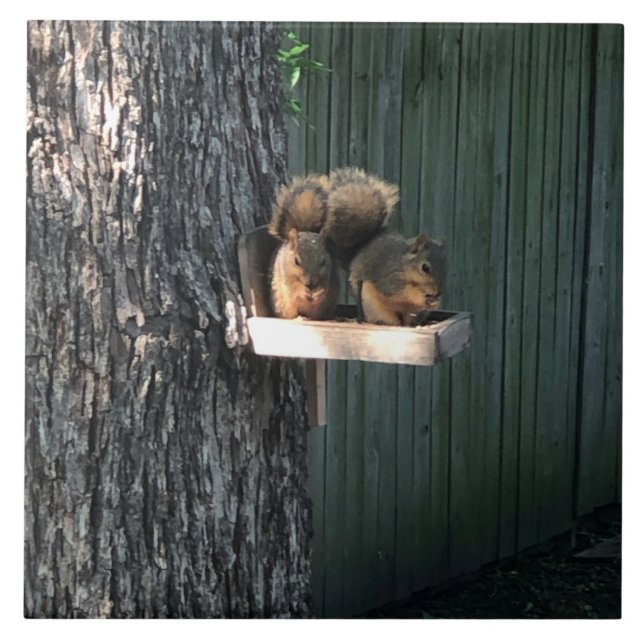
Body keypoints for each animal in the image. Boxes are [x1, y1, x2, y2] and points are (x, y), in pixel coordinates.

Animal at [268, 167, 445, 326]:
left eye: (446, 270)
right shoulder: (389, 274)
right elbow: (398, 291)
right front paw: (420, 296)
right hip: (371, 303)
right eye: (425, 268)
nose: (438, 292)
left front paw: (435, 301)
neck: (405, 265)